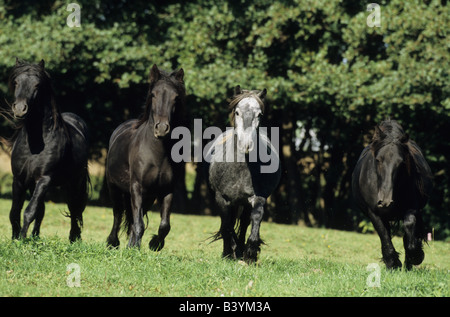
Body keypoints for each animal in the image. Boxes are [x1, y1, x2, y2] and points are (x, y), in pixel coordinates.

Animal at [3, 59, 89, 241]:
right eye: (16, 82)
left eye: (37, 84)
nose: (19, 109)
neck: (34, 145)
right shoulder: (19, 180)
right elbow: (15, 212)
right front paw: (15, 238)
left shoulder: (44, 179)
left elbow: (29, 211)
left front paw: (22, 239)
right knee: (42, 211)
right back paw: (36, 236)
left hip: (74, 182)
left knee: (74, 208)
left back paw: (74, 238)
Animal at [105, 64, 185, 249]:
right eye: (153, 94)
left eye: (176, 97)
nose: (162, 128)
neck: (158, 155)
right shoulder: (136, 187)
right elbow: (138, 223)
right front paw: (136, 247)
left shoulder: (167, 190)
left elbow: (164, 225)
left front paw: (154, 243)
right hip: (115, 188)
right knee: (118, 214)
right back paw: (113, 242)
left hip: (149, 197)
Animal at [208, 84, 280, 262]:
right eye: (237, 112)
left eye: (259, 114)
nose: (246, 144)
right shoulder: (222, 199)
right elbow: (227, 225)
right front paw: (230, 252)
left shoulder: (258, 198)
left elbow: (255, 219)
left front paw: (250, 253)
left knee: (244, 223)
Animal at [352, 119, 432, 270]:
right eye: (378, 160)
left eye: (401, 162)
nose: (385, 201)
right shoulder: (374, 213)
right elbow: (384, 236)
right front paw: (392, 263)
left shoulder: (412, 208)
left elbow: (409, 225)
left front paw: (415, 256)